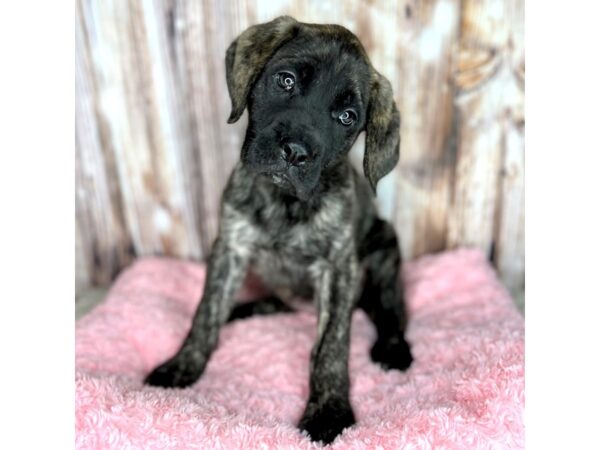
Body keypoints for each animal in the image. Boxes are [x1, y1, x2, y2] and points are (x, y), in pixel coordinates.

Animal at [146, 15, 412, 444]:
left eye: (348, 117)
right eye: (285, 80)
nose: (295, 153)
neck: (284, 202)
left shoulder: (339, 268)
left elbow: (332, 343)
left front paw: (329, 410)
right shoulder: (230, 247)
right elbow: (206, 311)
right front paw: (183, 364)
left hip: (385, 249)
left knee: (391, 311)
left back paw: (392, 349)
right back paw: (245, 309)